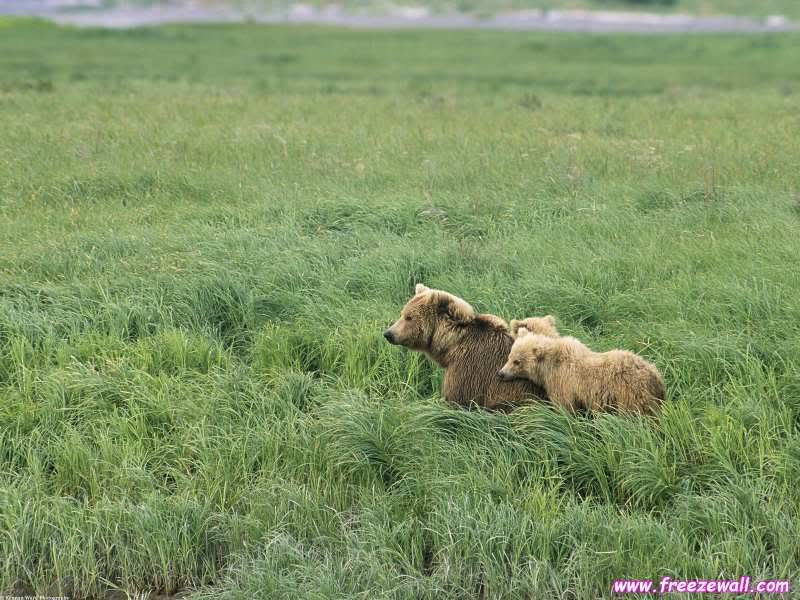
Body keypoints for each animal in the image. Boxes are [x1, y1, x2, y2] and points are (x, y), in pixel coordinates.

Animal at [382, 284, 544, 410]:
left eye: (409, 317)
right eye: (402, 314)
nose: (388, 333)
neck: (452, 345)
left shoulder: (468, 369)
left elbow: (458, 398)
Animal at [500, 326, 664, 414]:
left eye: (517, 362)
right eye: (509, 356)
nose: (501, 373)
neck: (547, 368)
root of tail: (655, 375)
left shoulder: (563, 383)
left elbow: (564, 406)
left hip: (630, 395)